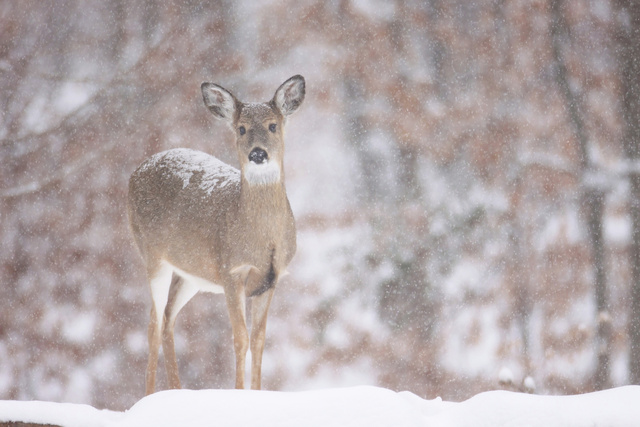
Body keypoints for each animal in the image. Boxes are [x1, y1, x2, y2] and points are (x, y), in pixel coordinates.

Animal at [127, 75, 305, 395]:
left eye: (273, 125)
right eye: (241, 128)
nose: (257, 153)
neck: (262, 239)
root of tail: (135, 173)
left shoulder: (271, 279)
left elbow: (259, 341)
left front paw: (258, 393)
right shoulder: (230, 270)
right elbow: (240, 338)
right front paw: (238, 393)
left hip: (191, 273)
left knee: (167, 318)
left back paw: (176, 391)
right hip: (152, 256)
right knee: (154, 323)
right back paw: (150, 397)